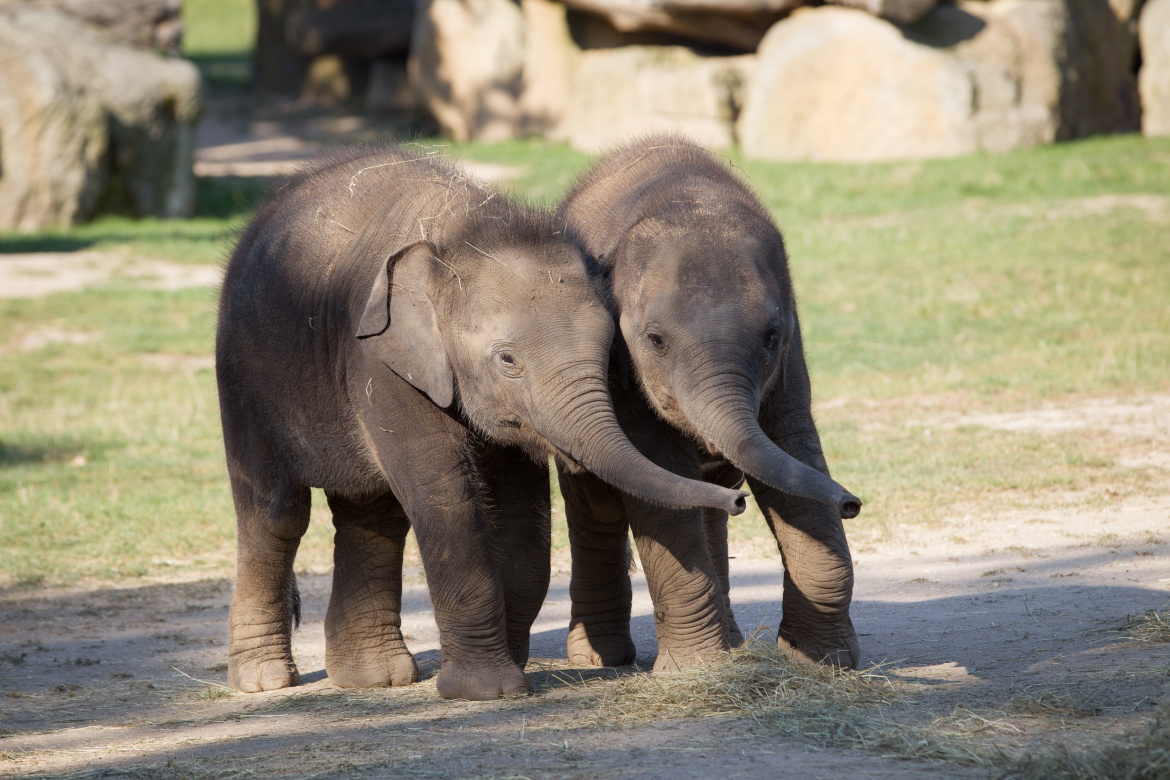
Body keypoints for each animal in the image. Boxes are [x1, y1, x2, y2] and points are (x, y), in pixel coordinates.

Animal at [217, 146, 748, 701]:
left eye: (608, 353)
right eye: (507, 360)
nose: (737, 499)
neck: (463, 228)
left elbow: (522, 515)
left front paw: (509, 669)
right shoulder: (380, 363)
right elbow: (444, 496)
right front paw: (486, 691)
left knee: (373, 513)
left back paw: (374, 679)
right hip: (242, 374)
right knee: (276, 515)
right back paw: (264, 681)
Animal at [556, 137, 861, 673]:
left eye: (772, 336)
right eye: (655, 340)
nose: (851, 503)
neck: (690, 198)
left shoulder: (790, 363)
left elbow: (793, 452)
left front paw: (824, 661)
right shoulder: (619, 368)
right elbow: (659, 475)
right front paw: (693, 671)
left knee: (710, 500)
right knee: (596, 505)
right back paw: (601, 661)